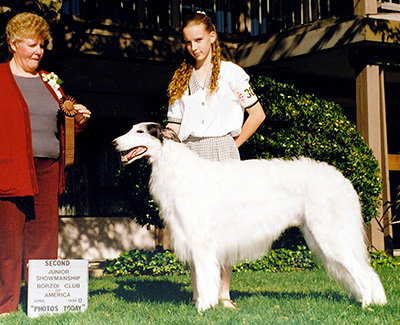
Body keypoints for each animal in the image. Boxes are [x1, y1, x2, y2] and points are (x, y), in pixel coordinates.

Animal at [111, 122, 384, 312]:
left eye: (140, 131)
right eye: (131, 129)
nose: (113, 143)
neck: (176, 168)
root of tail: (341, 179)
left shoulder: (201, 242)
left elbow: (205, 280)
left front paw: (203, 309)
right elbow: (199, 280)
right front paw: (199, 304)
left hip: (330, 236)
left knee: (364, 273)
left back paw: (367, 305)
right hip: (319, 237)